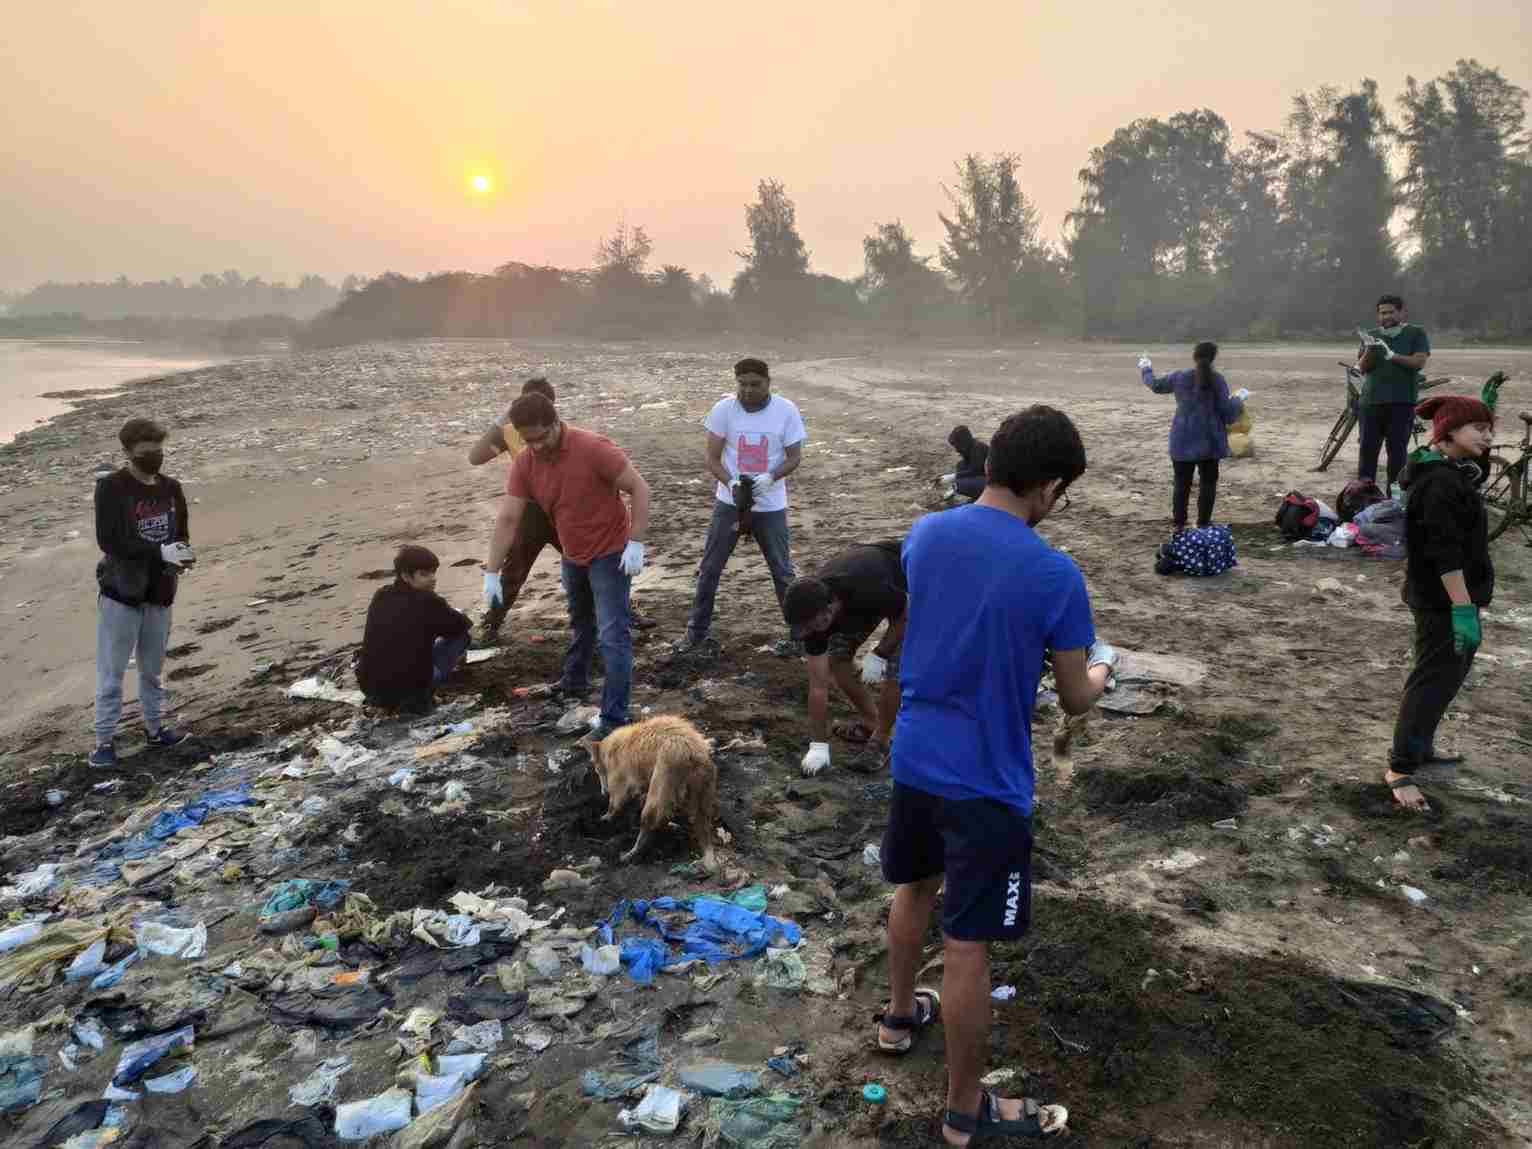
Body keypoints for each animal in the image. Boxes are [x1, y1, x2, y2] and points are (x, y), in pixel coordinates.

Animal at [579, 720, 716, 870]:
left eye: (597, 770)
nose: (604, 792)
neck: (612, 749)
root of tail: (692, 752)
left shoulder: (620, 782)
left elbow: (614, 805)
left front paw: (605, 818)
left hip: (660, 786)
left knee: (648, 823)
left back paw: (633, 852)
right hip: (701, 793)